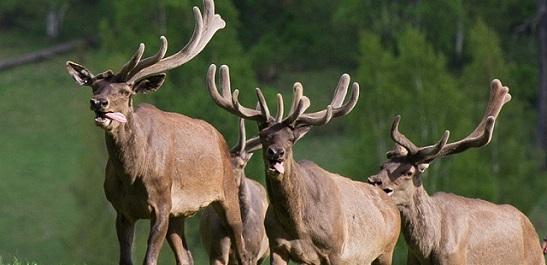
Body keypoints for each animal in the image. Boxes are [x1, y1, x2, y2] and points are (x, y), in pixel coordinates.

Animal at [65, 0, 252, 264]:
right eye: (94, 86)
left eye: (126, 92)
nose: (98, 103)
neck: (132, 174)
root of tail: (221, 138)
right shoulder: (122, 211)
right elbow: (126, 259)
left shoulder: (162, 204)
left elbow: (149, 259)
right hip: (180, 213)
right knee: (186, 257)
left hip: (226, 192)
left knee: (243, 250)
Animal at [207, 64, 402, 264]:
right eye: (263, 135)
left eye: (291, 138)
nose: (276, 152)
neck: (298, 226)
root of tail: (394, 208)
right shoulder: (277, 246)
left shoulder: (336, 251)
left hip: (386, 251)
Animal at [368, 79, 547, 264]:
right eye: (382, 165)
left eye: (409, 172)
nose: (374, 181)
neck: (429, 248)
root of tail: (532, 230)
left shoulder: (456, 259)